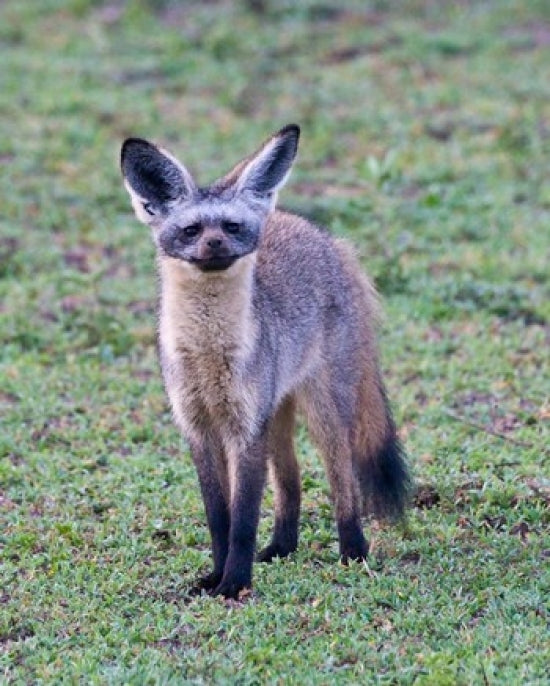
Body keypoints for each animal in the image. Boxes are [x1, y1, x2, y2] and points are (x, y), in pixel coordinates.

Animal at [120, 124, 410, 599]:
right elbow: (219, 519)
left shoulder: (245, 430)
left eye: (232, 226)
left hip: (324, 413)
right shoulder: (199, 429)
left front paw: (235, 583)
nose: (215, 244)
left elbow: (242, 521)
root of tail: (329, 240)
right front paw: (216, 576)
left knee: (343, 480)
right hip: (277, 417)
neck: (208, 357)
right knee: (291, 481)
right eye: (191, 229)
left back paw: (353, 550)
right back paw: (281, 547)